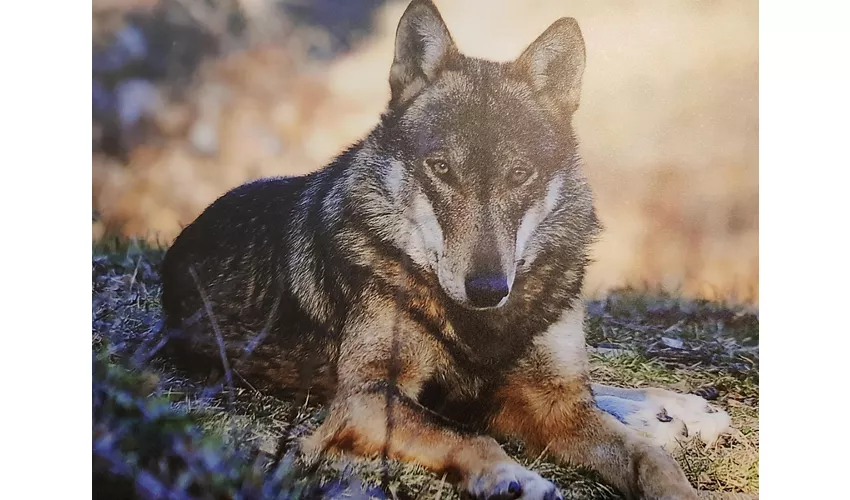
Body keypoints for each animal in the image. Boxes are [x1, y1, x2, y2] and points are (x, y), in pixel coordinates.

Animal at [160, 1, 731, 498]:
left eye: (519, 174)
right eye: (440, 169)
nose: (487, 289)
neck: (483, 327)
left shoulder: (558, 406)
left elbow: (650, 459)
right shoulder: (367, 398)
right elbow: (469, 435)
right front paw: (513, 477)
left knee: (604, 391)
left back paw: (681, 411)